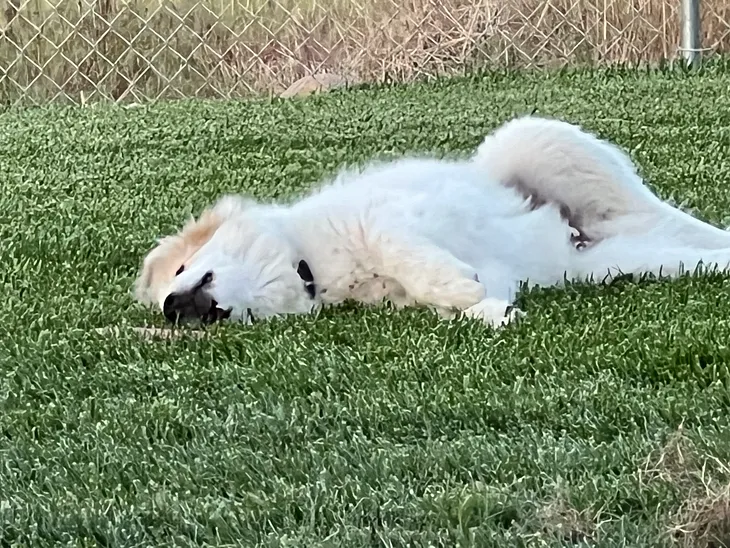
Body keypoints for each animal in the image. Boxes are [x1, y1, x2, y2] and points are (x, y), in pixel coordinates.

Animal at [134, 115, 728, 328]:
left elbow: (403, 251)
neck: (308, 266)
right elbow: (457, 307)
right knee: (693, 252)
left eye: (183, 268)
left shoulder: (389, 216)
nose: (171, 308)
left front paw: (463, 288)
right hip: (621, 261)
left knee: (682, 221)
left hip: (542, 146)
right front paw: (491, 310)